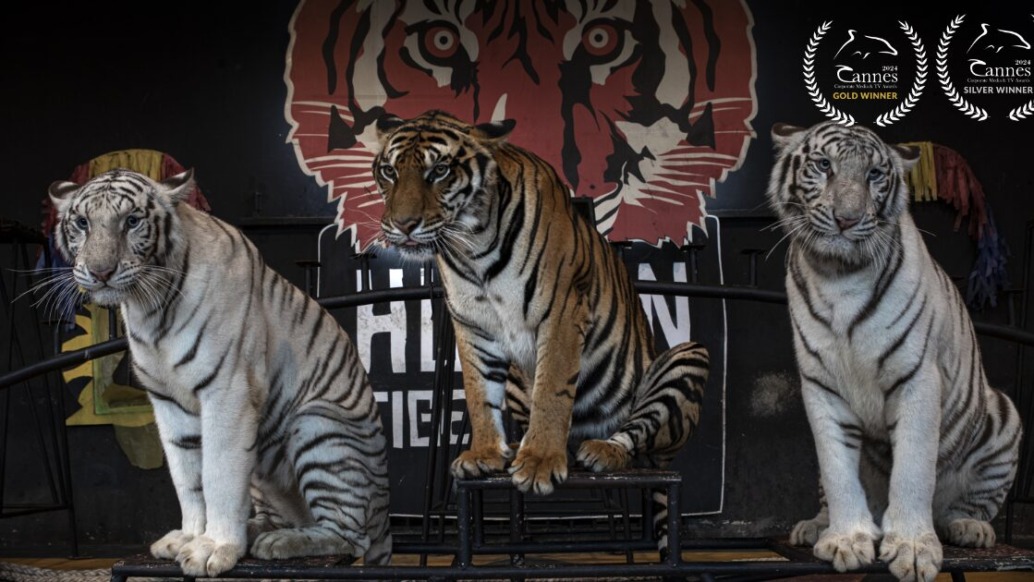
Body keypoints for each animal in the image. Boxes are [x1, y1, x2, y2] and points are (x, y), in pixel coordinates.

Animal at [44, 168, 392, 578]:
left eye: (131, 221)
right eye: (83, 223)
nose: (100, 272)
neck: (150, 308)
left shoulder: (229, 392)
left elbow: (218, 475)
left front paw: (215, 547)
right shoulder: (168, 403)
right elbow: (187, 479)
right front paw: (190, 537)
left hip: (318, 427)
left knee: (350, 534)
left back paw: (278, 542)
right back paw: (258, 530)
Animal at [372, 109, 711, 554]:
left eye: (440, 171)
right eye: (389, 172)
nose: (403, 225)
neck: (471, 247)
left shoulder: (561, 310)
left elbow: (552, 390)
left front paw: (538, 464)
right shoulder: (472, 324)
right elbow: (479, 396)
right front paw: (485, 452)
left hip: (686, 358)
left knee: (638, 436)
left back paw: (601, 451)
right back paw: (518, 446)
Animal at [765, 120, 1021, 578]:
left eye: (874, 175)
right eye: (824, 165)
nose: (846, 219)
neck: (837, 274)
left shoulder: (917, 377)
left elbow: (913, 469)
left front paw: (913, 548)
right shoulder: (821, 385)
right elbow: (837, 469)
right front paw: (846, 538)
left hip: (1004, 416)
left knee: (962, 506)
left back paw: (969, 528)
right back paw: (815, 526)